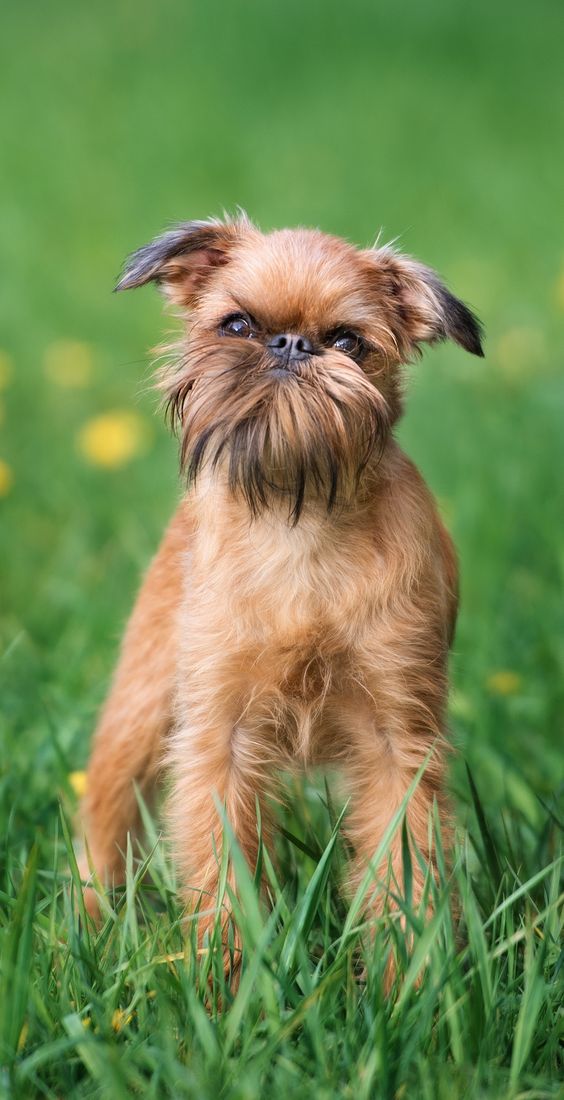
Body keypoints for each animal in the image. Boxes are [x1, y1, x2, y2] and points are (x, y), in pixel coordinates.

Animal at [80, 212, 483, 981]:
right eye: (237, 325)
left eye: (349, 342)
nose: (291, 344)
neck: (299, 521)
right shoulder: (220, 736)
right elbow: (221, 863)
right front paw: (225, 979)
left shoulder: (397, 740)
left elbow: (405, 865)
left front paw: (408, 982)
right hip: (142, 707)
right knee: (103, 817)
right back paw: (82, 930)